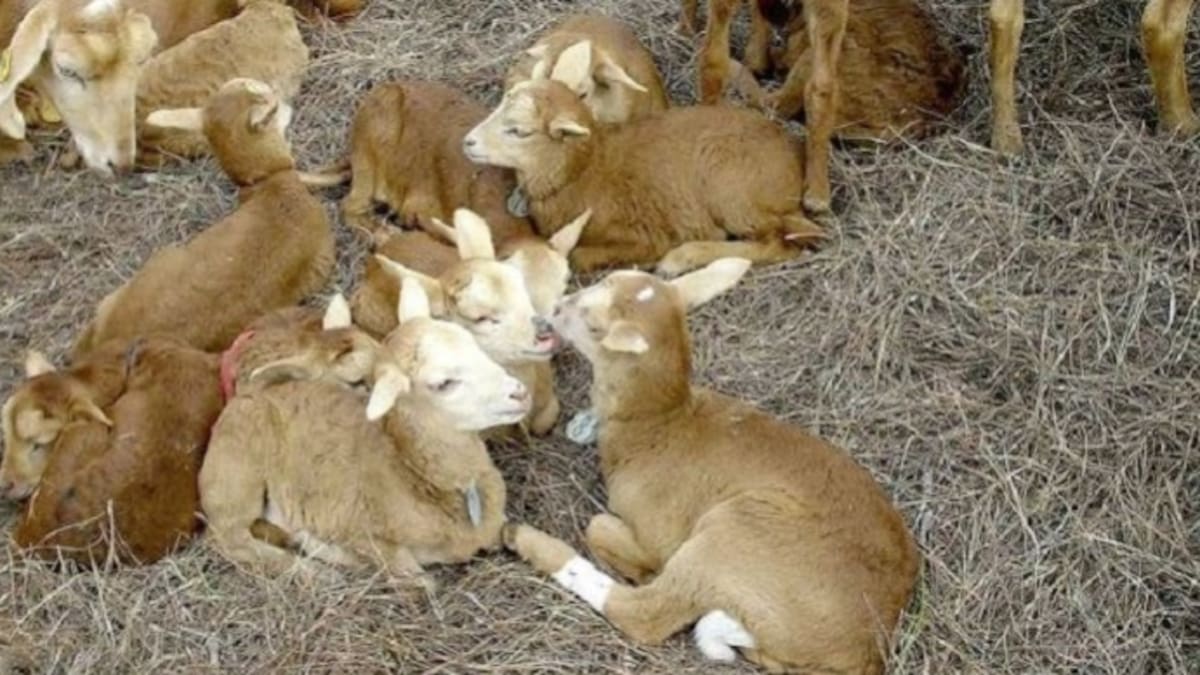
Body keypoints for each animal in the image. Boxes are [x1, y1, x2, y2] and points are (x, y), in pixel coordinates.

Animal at [199, 279, 529, 583]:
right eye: (443, 383)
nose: (520, 393)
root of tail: (252, 391)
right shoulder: (362, 534)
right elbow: (418, 582)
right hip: (235, 475)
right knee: (230, 539)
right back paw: (314, 571)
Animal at [463, 78, 824, 276]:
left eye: (519, 131)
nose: (467, 142)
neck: (584, 171)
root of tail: (793, 151)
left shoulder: (643, 234)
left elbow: (579, 256)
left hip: (731, 189)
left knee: (782, 243)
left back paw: (680, 259)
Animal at [503, 259, 920, 674]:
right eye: (609, 280)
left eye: (594, 327)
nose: (554, 311)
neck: (659, 422)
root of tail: (865, 650)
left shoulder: (661, 532)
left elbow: (605, 530)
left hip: (734, 533)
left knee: (644, 613)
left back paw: (521, 536)